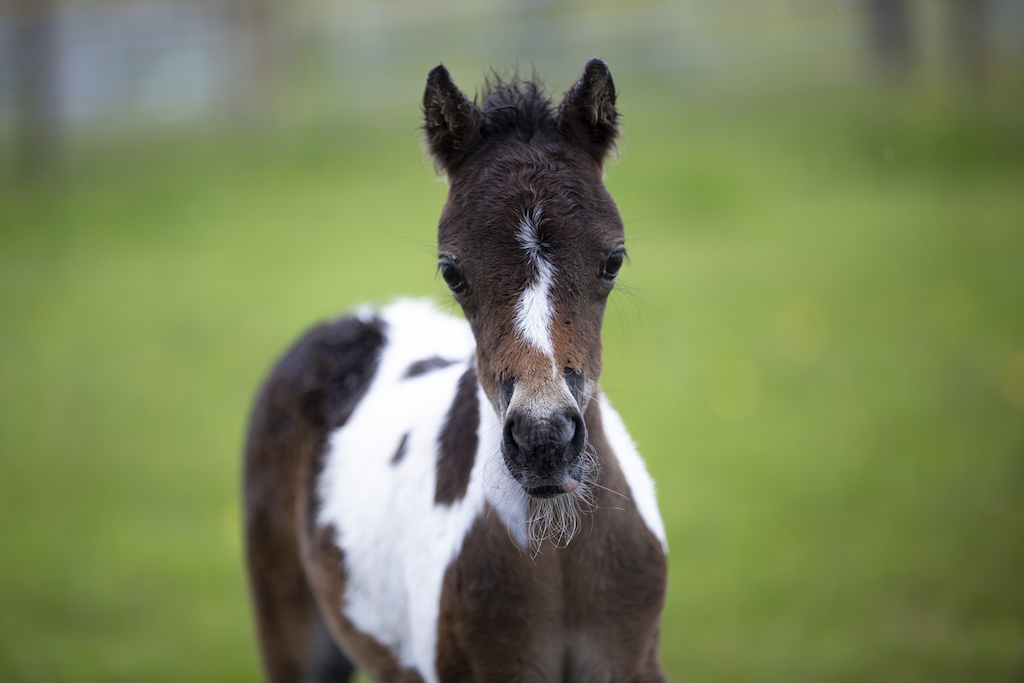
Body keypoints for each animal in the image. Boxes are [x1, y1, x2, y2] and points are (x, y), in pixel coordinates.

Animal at [243, 58, 668, 683]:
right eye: (453, 272)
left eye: (611, 261)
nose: (544, 440)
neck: (557, 554)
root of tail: (357, 320)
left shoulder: (634, 663)